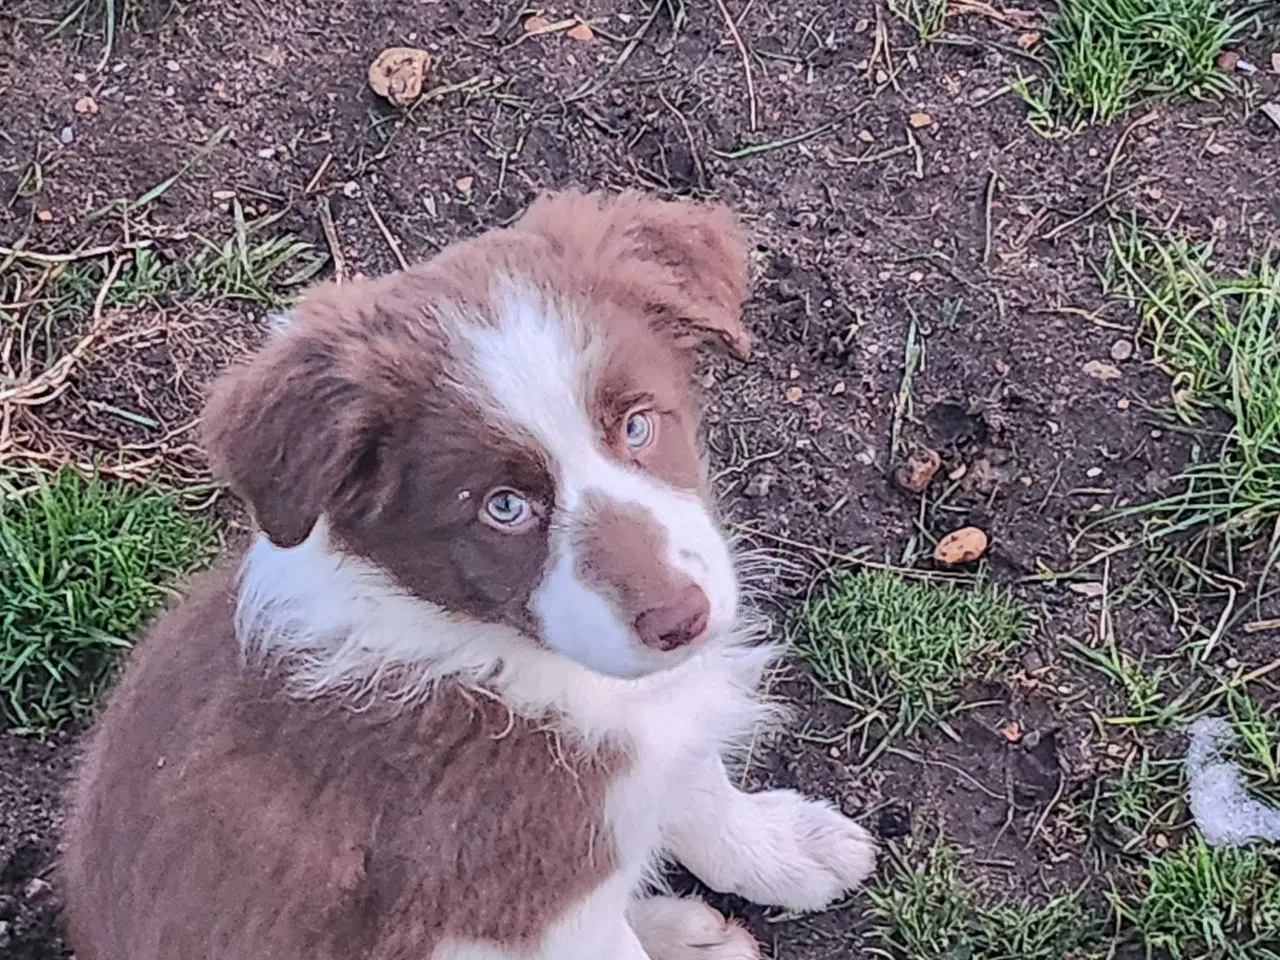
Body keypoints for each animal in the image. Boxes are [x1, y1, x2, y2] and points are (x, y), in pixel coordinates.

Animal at [62, 189, 880, 960]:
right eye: (504, 507)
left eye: (638, 425)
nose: (681, 620)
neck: (497, 655)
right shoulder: (521, 907)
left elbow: (698, 781)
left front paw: (783, 849)